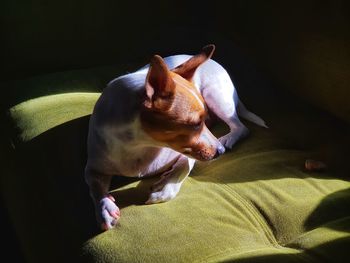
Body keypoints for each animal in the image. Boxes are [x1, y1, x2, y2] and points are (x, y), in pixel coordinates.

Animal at [84, 44, 266, 230]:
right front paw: (105, 208)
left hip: (216, 97)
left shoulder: (188, 154)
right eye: (195, 123)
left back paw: (228, 138)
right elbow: (95, 187)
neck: (140, 143)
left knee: (240, 126)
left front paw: (164, 188)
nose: (220, 151)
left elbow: (183, 167)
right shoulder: (93, 168)